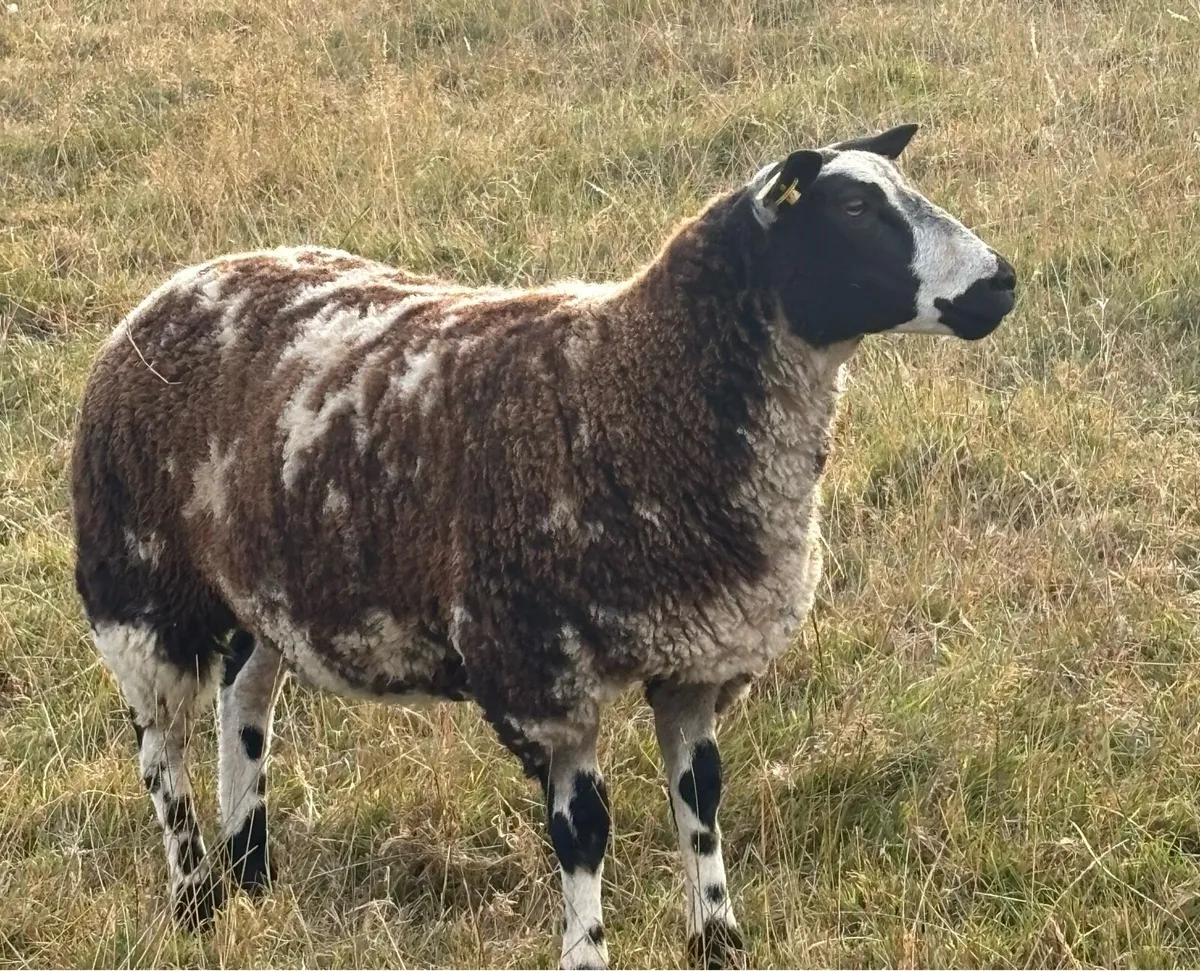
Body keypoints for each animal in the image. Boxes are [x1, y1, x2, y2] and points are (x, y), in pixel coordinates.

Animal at [72, 123, 1016, 969]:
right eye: (854, 208)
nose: (1001, 283)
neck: (636, 382)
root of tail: (172, 288)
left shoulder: (698, 656)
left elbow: (700, 802)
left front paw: (717, 938)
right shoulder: (542, 674)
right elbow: (584, 832)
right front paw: (586, 951)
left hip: (263, 588)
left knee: (244, 697)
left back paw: (251, 868)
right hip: (140, 584)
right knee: (160, 748)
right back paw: (196, 893)